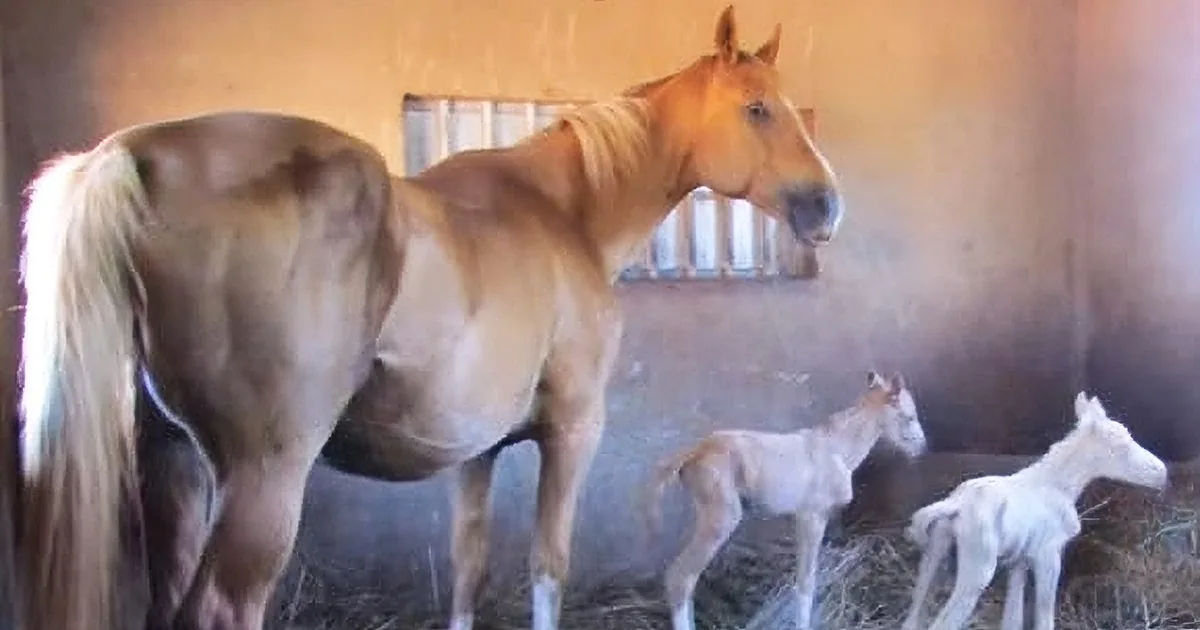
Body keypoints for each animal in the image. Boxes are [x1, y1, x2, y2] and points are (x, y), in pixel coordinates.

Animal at [15, 5, 843, 630]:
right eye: (757, 109)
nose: (827, 206)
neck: (562, 212)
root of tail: (132, 157)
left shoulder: (476, 452)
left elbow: (468, 572)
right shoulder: (573, 431)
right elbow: (549, 567)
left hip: (172, 466)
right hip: (262, 479)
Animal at [643, 371, 927, 630]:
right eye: (909, 417)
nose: (922, 448)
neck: (838, 449)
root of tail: (692, 454)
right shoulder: (811, 516)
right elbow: (806, 581)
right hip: (722, 516)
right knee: (680, 577)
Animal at [901, 392, 1169, 630]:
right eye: (1120, 446)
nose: (1162, 472)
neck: (1057, 485)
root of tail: (956, 504)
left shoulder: (1019, 561)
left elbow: (1013, 620)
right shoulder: (1047, 554)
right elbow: (1044, 616)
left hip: (935, 550)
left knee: (914, 616)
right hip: (979, 564)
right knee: (945, 622)